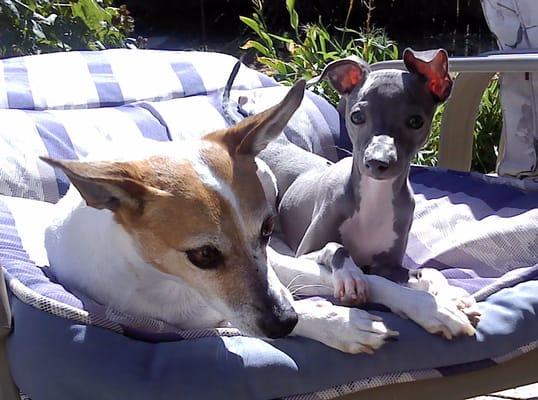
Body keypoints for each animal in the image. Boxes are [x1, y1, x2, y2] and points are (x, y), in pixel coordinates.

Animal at [43, 80, 474, 354]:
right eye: (203, 255)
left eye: (266, 229)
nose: (284, 321)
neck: (170, 280)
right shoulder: (199, 319)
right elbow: (299, 308)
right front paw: (343, 323)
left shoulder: (276, 264)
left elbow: (368, 279)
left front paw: (431, 305)